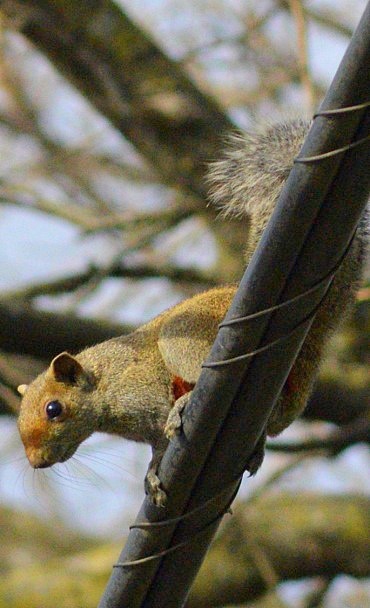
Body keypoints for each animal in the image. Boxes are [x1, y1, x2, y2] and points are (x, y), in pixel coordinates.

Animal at [16, 117, 368, 504]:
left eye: (54, 409)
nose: (36, 462)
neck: (105, 383)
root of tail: (315, 331)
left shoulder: (145, 387)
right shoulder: (150, 430)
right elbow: (157, 451)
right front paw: (152, 476)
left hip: (184, 338)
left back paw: (188, 404)